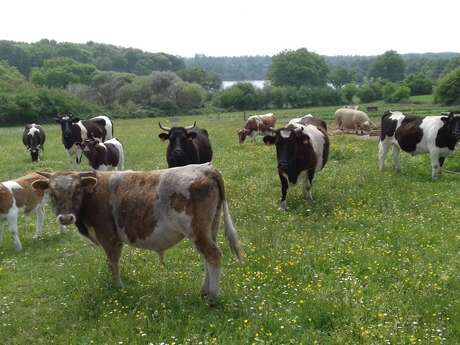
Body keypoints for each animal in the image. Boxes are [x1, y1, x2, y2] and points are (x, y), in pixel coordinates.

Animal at [31, 164, 241, 304]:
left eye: (76, 191)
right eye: (52, 193)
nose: (65, 218)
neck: (93, 193)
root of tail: (205, 169)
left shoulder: (109, 238)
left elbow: (112, 264)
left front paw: (118, 288)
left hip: (197, 231)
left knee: (213, 256)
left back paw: (212, 297)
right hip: (209, 229)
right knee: (207, 258)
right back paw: (204, 292)